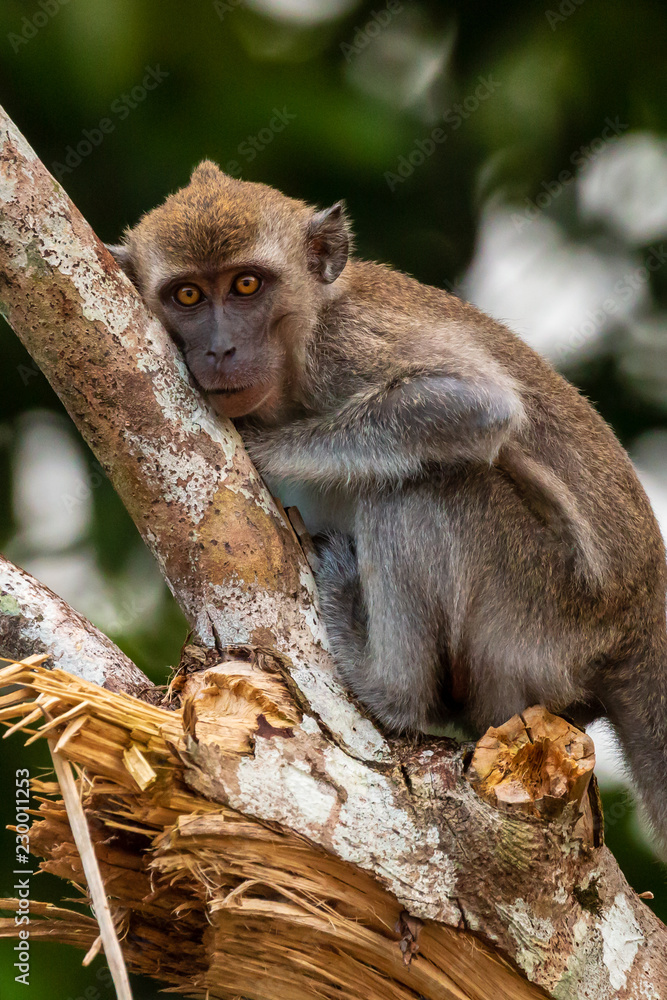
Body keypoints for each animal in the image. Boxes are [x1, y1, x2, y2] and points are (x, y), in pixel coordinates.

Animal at [108, 160, 667, 844]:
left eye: (245, 285)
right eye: (187, 296)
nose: (218, 350)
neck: (302, 340)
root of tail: (639, 623)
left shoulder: (347, 348)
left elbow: (477, 403)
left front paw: (267, 448)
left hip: (543, 615)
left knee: (423, 490)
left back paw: (388, 688)